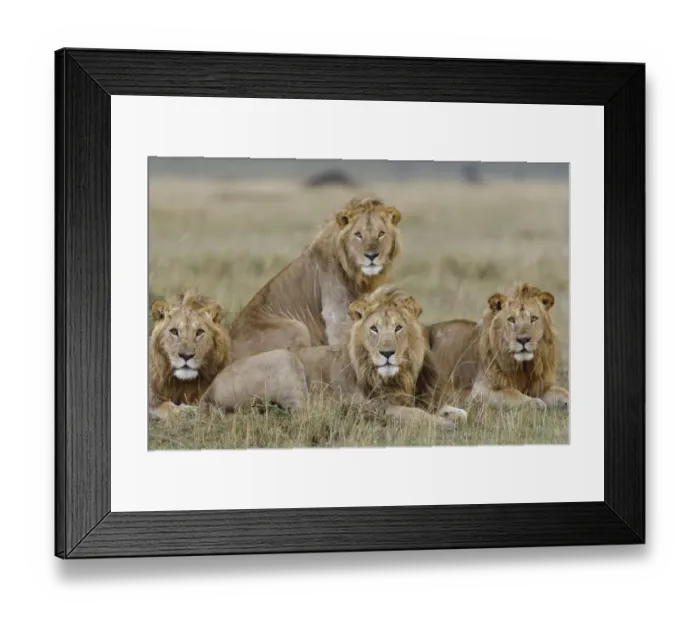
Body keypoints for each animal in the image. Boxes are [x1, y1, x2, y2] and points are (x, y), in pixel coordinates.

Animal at [149, 291, 231, 420]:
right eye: (174, 331)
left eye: (199, 332)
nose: (186, 356)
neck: (184, 384)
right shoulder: (152, 398)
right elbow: (165, 406)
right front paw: (187, 410)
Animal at [204, 285, 466, 429]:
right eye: (374, 329)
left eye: (398, 328)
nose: (387, 353)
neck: (398, 377)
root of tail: (209, 390)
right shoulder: (373, 405)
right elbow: (414, 414)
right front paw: (444, 424)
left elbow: (456, 411)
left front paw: (452, 415)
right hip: (285, 360)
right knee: (305, 413)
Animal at [227, 196, 403, 362]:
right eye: (358, 235)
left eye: (381, 233)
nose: (371, 256)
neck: (359, 277)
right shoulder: (336, 317)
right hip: (297, 328)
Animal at [427, 282, 569, 409]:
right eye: (511, 319)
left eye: (533, 318)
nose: (523, 340)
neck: (523, 367)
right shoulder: (478, 391)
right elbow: (511, 393)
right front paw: (533, 402)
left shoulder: (542, 384)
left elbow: (563, 392)